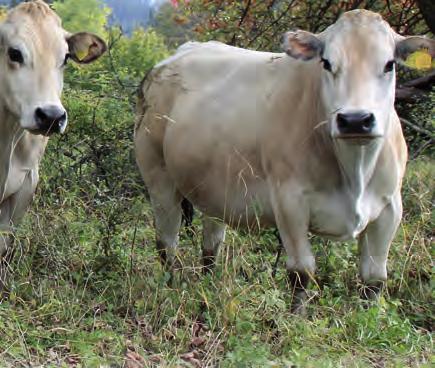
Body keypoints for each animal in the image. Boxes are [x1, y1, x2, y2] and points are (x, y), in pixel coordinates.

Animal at [135, 10, 434, 312]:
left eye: (389, 64)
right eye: (327, 63)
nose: (355, 120)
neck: (354, 170)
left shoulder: (390, 208)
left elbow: (373, 279)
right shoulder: (290, 202)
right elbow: (302, 272)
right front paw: (296, 317)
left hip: (213, 185)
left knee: (211, 242)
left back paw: (206, 284)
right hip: (157, 175)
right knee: (167, 241)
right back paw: (171, 288)